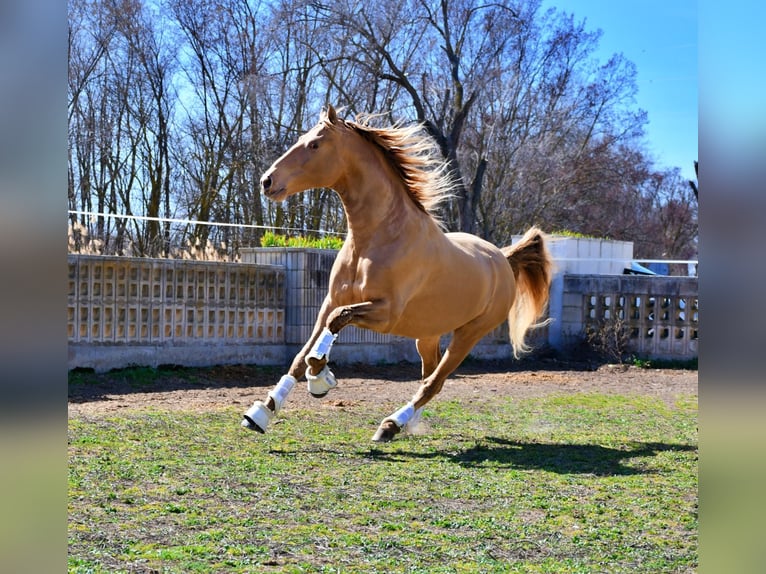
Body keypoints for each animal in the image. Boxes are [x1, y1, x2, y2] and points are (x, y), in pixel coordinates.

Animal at [243, 106, 548, 444]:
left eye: (314, 145)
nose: (267, 181)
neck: (377, 239)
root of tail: (503, 259)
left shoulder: (384, 314)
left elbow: (337, 322)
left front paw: (319, 376)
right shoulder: (329, 301)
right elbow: (302, 353)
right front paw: (263, 412)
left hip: (468, 335)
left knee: (434, 382)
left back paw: (390, 425)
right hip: (427, 335)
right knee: (429, 375)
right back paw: (409, 423)